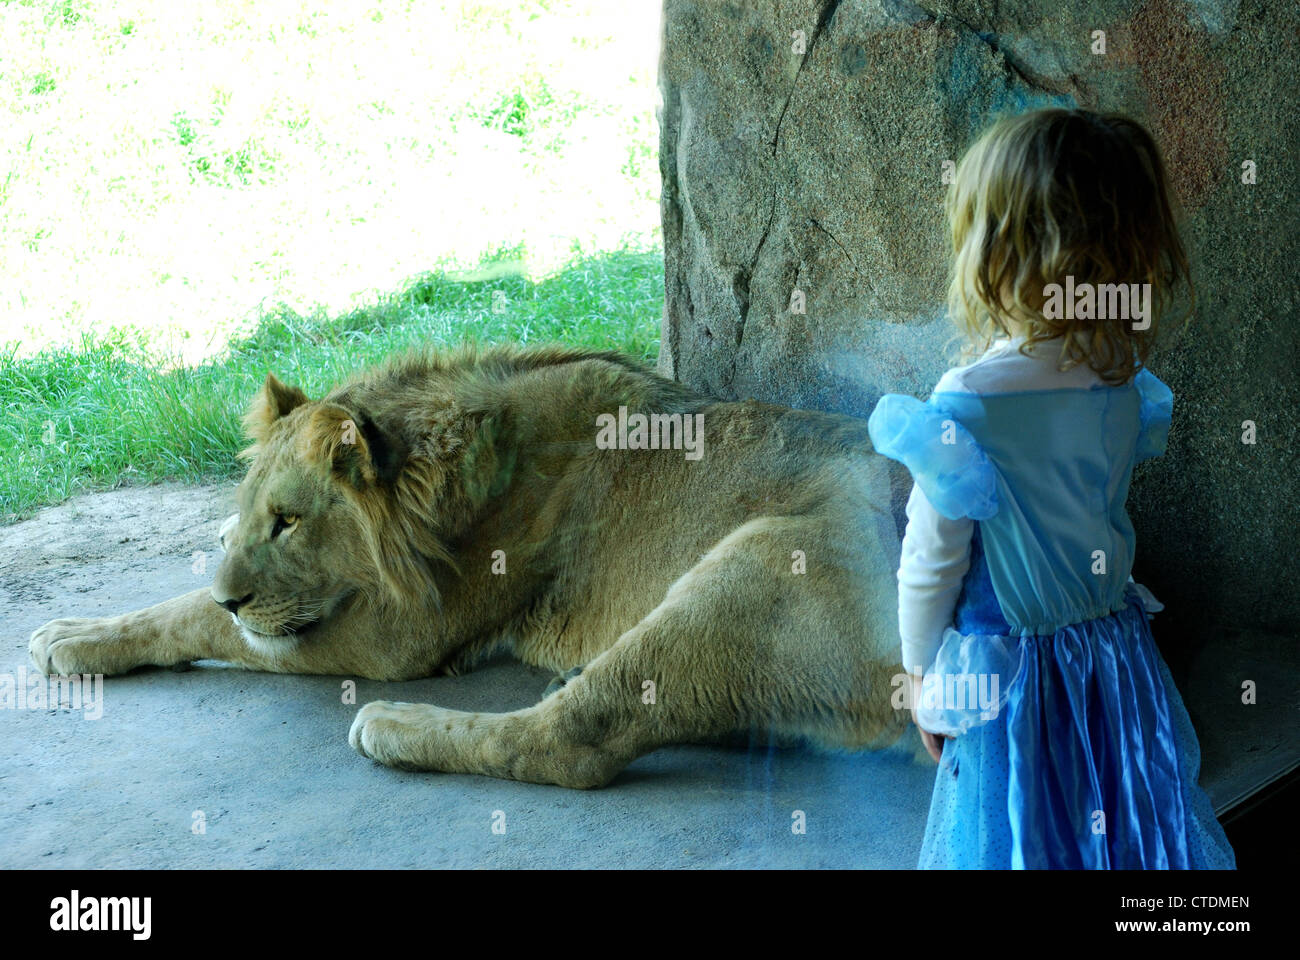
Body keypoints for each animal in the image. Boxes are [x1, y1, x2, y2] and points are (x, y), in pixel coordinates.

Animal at [25, 343, 909, 785]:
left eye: (288, 522)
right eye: (246, 517)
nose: (235, 596)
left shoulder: (404, 638)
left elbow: (194, 617)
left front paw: (70, 636)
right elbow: (185, 609)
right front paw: (87, 628)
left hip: (765, 555)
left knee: (568, 744)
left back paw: (400, 728)